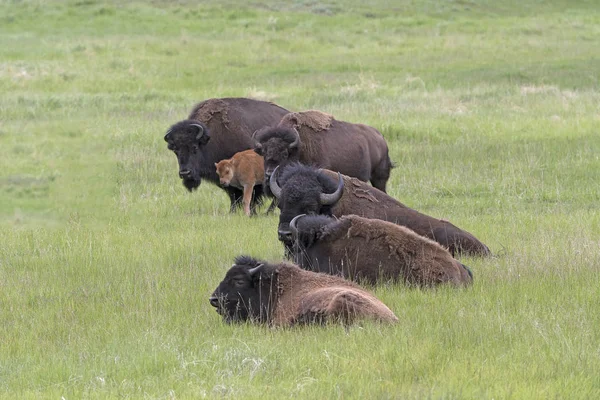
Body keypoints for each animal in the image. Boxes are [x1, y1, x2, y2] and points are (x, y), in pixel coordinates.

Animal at [253, 111, 394, 194]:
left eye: (285, 154)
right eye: (264, 154)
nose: (269, 174)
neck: (300, 146)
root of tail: (381, 139)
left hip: (379, 177)